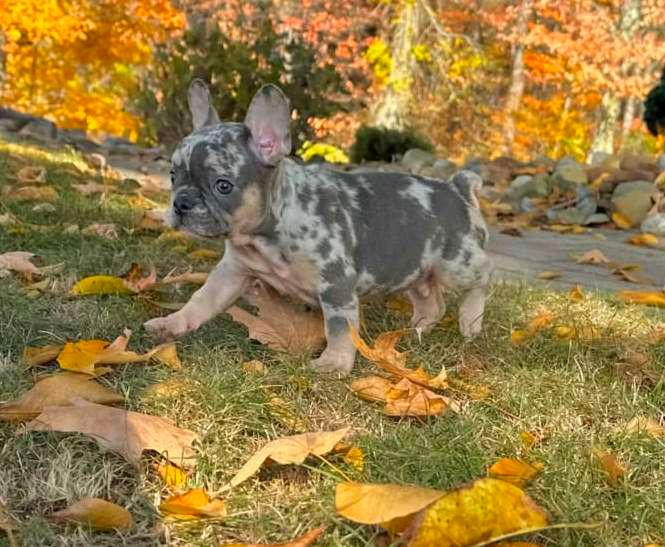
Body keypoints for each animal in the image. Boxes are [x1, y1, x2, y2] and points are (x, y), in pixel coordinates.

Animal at [143, 79, 490, 374]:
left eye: (223, 185)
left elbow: (338, 328)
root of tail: (457, 189)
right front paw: (173, 323)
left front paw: (334, 363)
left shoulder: (335, 285)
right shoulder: (232, 272)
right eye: (173, 176)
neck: (266, 236)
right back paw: (418, 327)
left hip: (456, 264)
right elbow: (202, 299)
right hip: (413, 269)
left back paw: (470, 320)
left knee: (483, 277)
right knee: (432, 301)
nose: (181, 203)